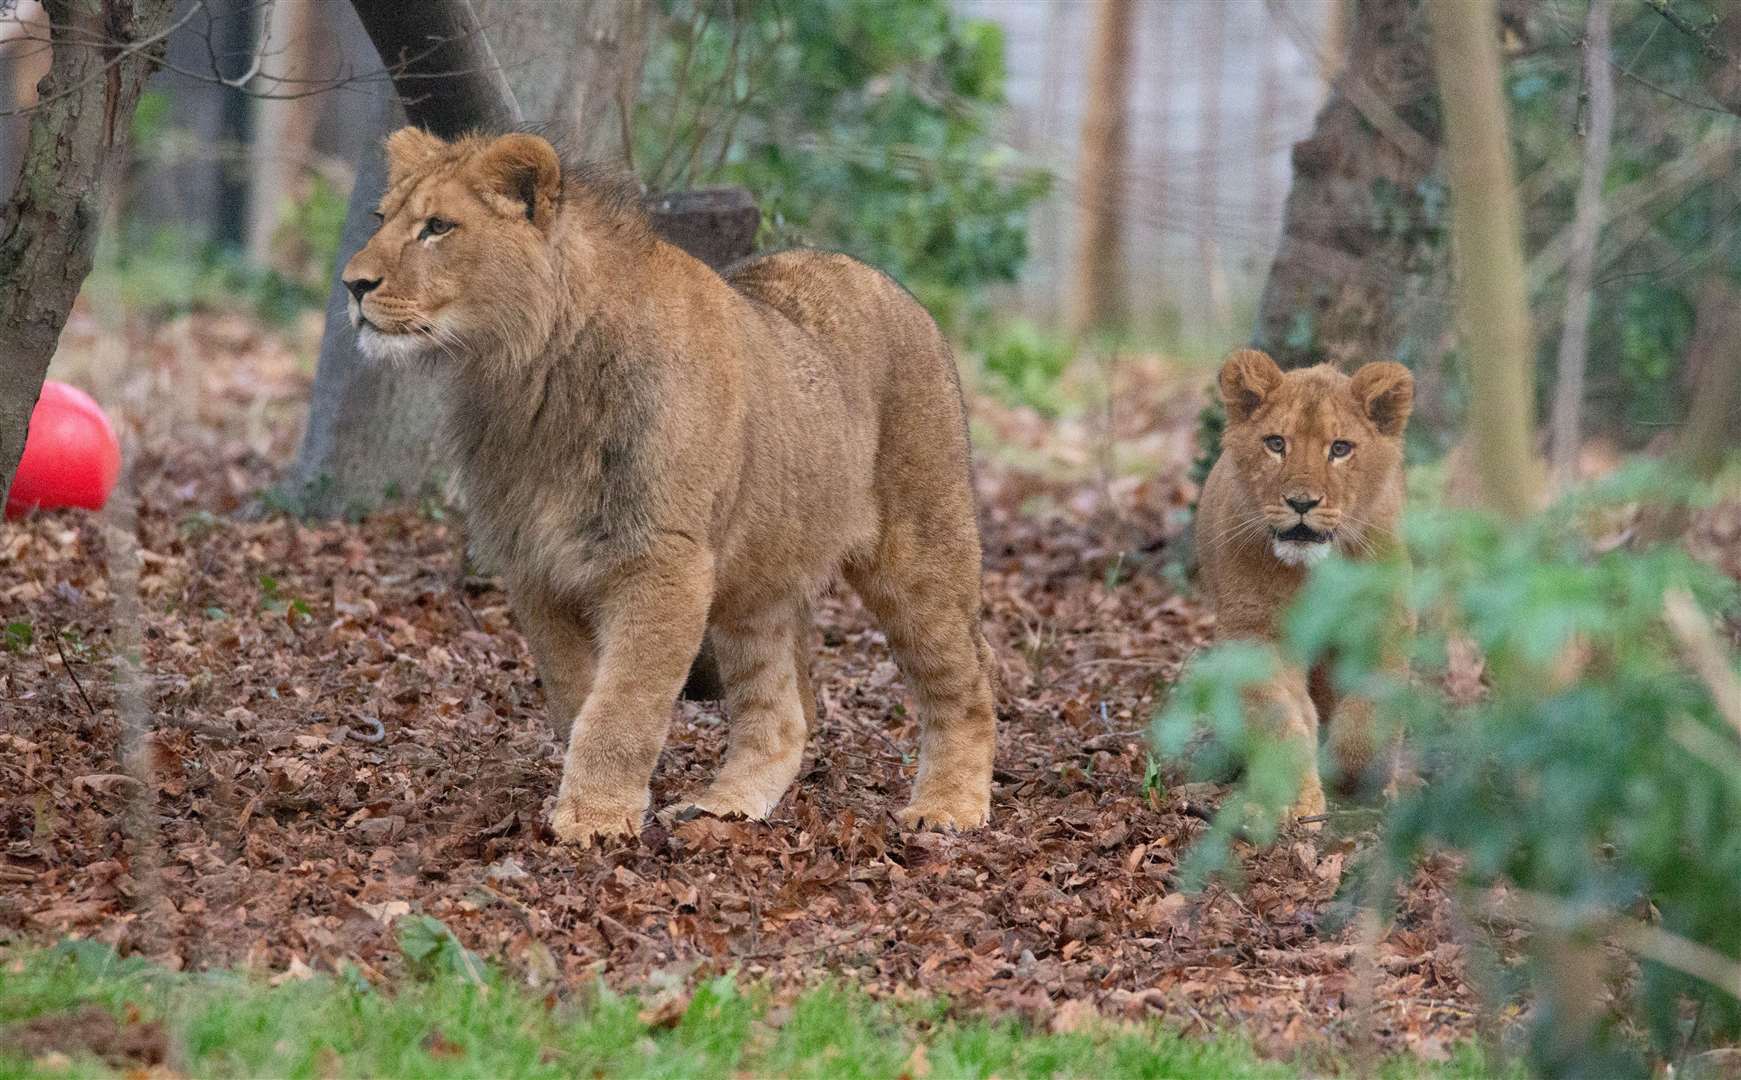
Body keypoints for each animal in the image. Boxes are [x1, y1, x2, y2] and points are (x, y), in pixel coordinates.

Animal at [339, 130, 995, 843]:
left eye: (437, 227)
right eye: (381, 218)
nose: (352, 284)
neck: (525, 380)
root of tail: (892, 286)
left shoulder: (663, 560)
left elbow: (623, 703)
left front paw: (595, 820)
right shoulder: (535, 566)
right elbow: (575, 696)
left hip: (920, 550)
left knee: (969, 676)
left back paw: (948, 808)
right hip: (759, 579)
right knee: (782, 714)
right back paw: (725, 806)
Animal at [1197, 351, 1413, 818]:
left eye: (1340, 448)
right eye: (1277, 444)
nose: (1301, 503)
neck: (1314, 572)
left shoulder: (1383, 618)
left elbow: (1371, 709)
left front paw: (1360, 779)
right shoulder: (1256, 630)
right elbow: (1278, 722)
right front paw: (1294, 800)